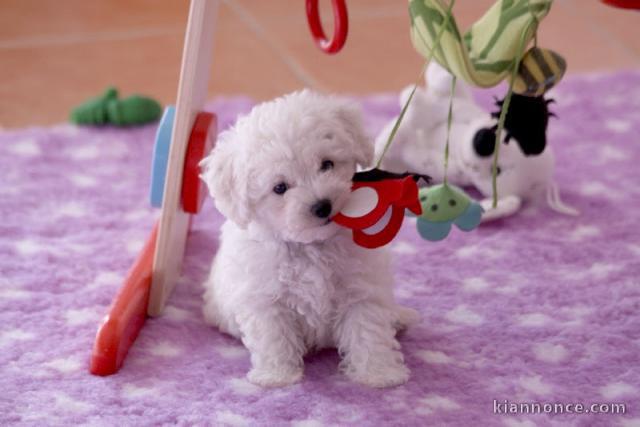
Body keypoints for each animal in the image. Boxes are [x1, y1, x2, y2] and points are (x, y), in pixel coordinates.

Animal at [200, 89, 420, 388]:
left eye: (327, 164)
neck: (312, 245)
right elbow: (274, 336)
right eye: (280, 188)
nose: (322, 206)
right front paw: (278, 376)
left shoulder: (360, 287)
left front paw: (380, 374)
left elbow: (367, 329)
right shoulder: (265, 299)